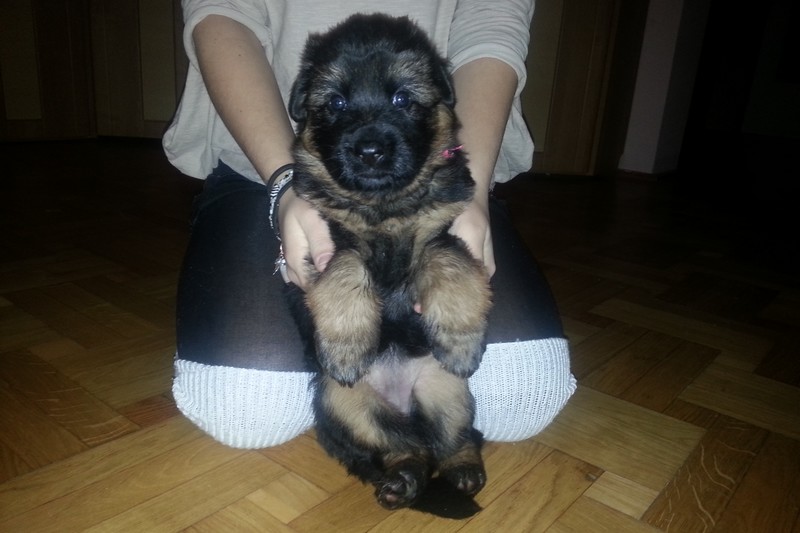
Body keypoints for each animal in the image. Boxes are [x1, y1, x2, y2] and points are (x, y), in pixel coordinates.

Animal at [285, 14, 492, 513]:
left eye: (402, 98)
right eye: (336, 102)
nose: (370, 151)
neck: (385, 205)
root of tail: (402, 403)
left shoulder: (441, 231)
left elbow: (448, 261)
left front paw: (460, 340)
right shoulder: (329, 241)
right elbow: (346, 270)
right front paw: (345, 348)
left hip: (446, 390)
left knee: (454, 439)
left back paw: (463, 472)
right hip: (345, 405)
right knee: (404, 449)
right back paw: (403, 483)